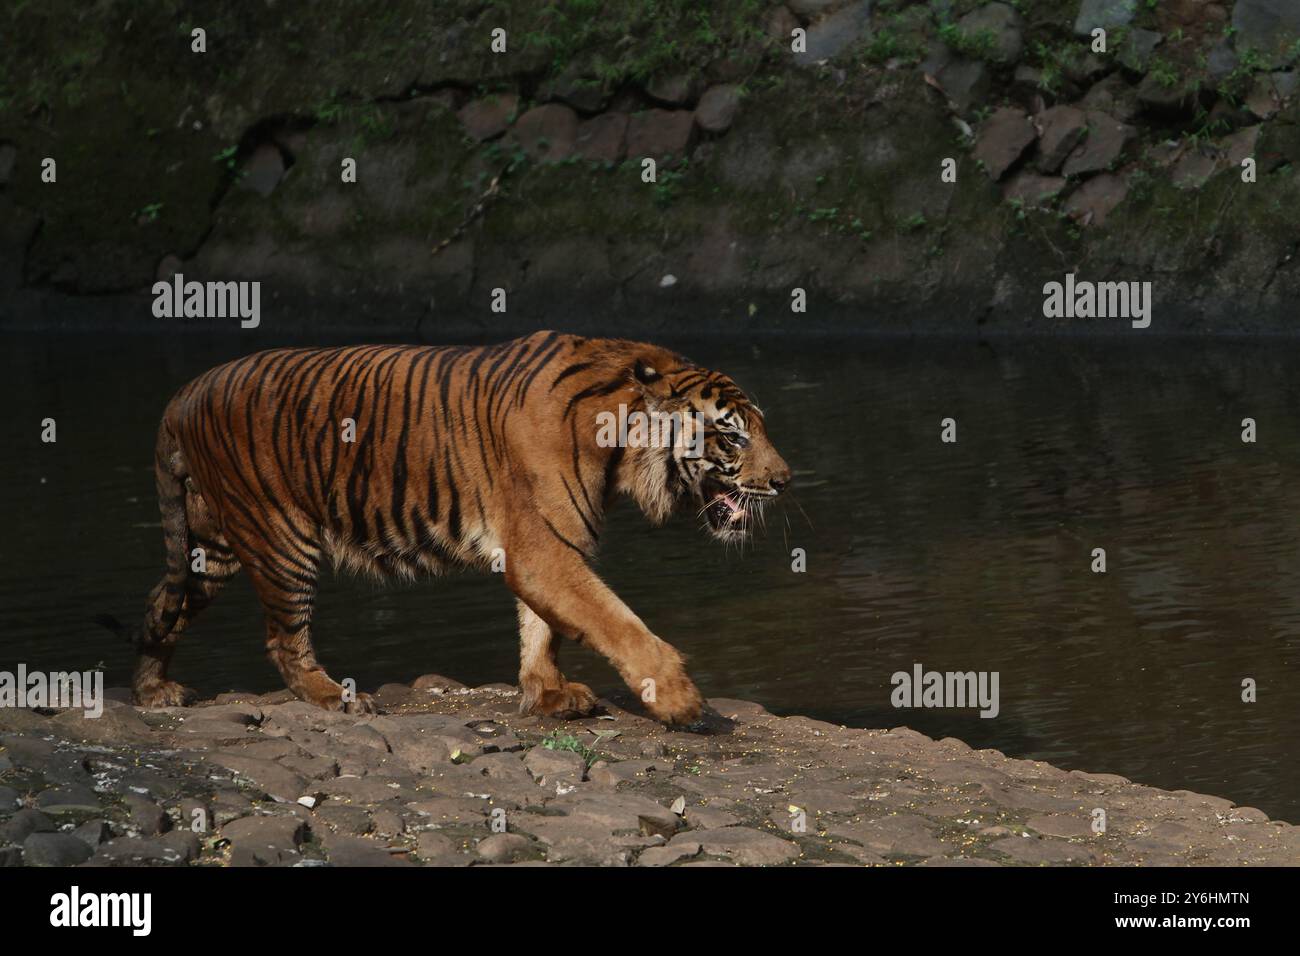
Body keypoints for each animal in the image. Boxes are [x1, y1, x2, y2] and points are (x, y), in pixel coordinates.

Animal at [101, 330, 785, 723]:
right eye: (732, 435)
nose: (785, 480)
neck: (618, 442)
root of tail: (183, 393)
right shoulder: (542, 546)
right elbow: (615, 620)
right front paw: (679, 699)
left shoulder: (547, 540)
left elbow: (544, 627)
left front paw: (546, 693)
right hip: (280, 538)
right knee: (281, 639)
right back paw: (333, 697)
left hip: (209, 547)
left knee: (159, 605)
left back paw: (153, 693)